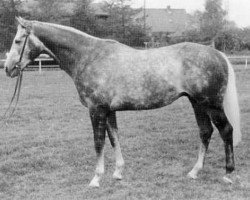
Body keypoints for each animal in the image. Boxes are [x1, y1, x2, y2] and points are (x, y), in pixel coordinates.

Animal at [3, 17, 241, 186]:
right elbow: (114, 138)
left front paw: (96, 179)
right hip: (197, 103)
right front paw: (117, 173)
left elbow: (99, 142)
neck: (89, 56)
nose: (8, 68)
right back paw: (194, 172)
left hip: (211, 104)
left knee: (226, 130)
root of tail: (217, 53)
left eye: (17, 41)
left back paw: (228, 173)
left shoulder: (96, 110)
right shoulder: (109, 110)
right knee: (205, 132)